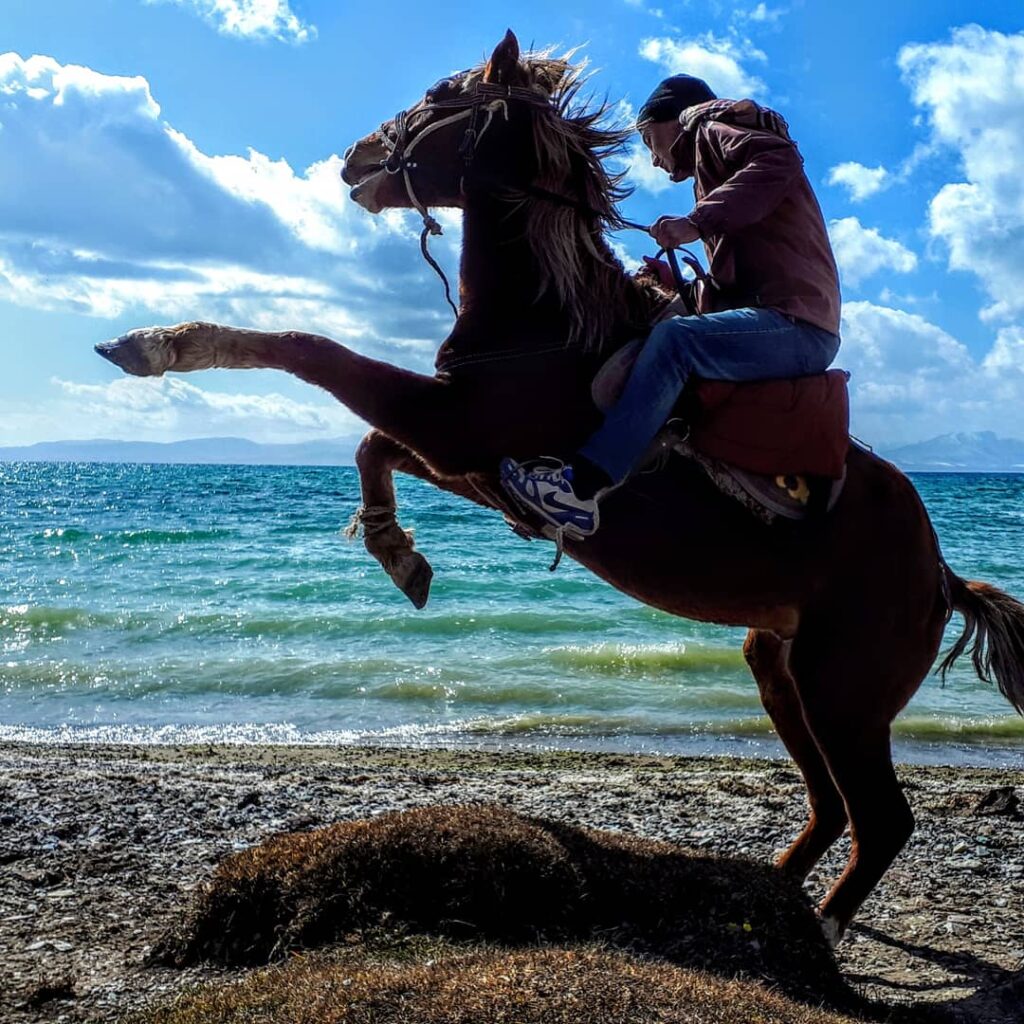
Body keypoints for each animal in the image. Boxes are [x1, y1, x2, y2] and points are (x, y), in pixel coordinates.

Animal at [95, 30, 1024, 947]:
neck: (549, 322)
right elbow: (373, 444)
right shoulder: (468, 454)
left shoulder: (455, 427)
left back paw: (822, 928)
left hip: (843, 695)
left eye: (441, 95)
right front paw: (400, 554)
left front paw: (154, 343)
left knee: (881, 818)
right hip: (780, 669)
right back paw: (774, 904)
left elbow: (308, 349)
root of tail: (941, 575)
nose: (355, 157)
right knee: (831, 806)